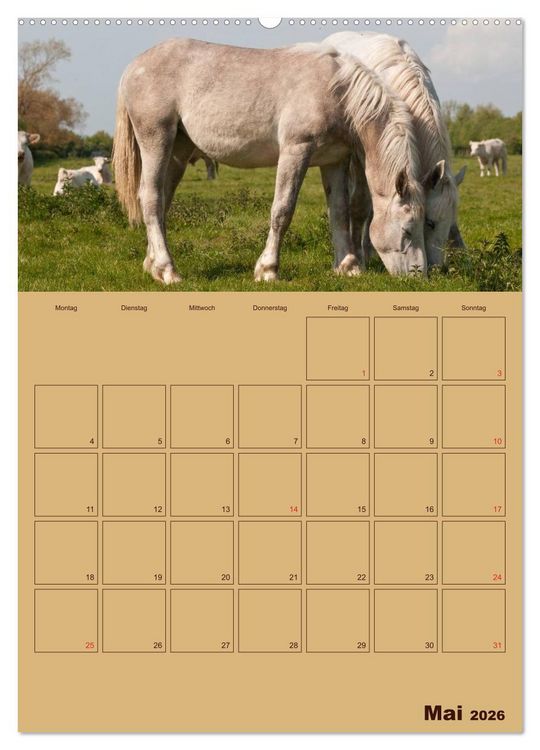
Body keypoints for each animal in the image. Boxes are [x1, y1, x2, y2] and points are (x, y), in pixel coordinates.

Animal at [112, 38, 428, 284]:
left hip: (178, 149)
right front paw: (268, 270)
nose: (419, 275)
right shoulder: (295, 151)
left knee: (162, 200)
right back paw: (168, 271)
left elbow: (339, 211)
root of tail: (133, 66)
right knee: (150, 198)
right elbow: (282, 210)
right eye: (407, 230)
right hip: (156, 139)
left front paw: (347, 267)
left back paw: (152, 265)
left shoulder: (334, 161)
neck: (337, 91)